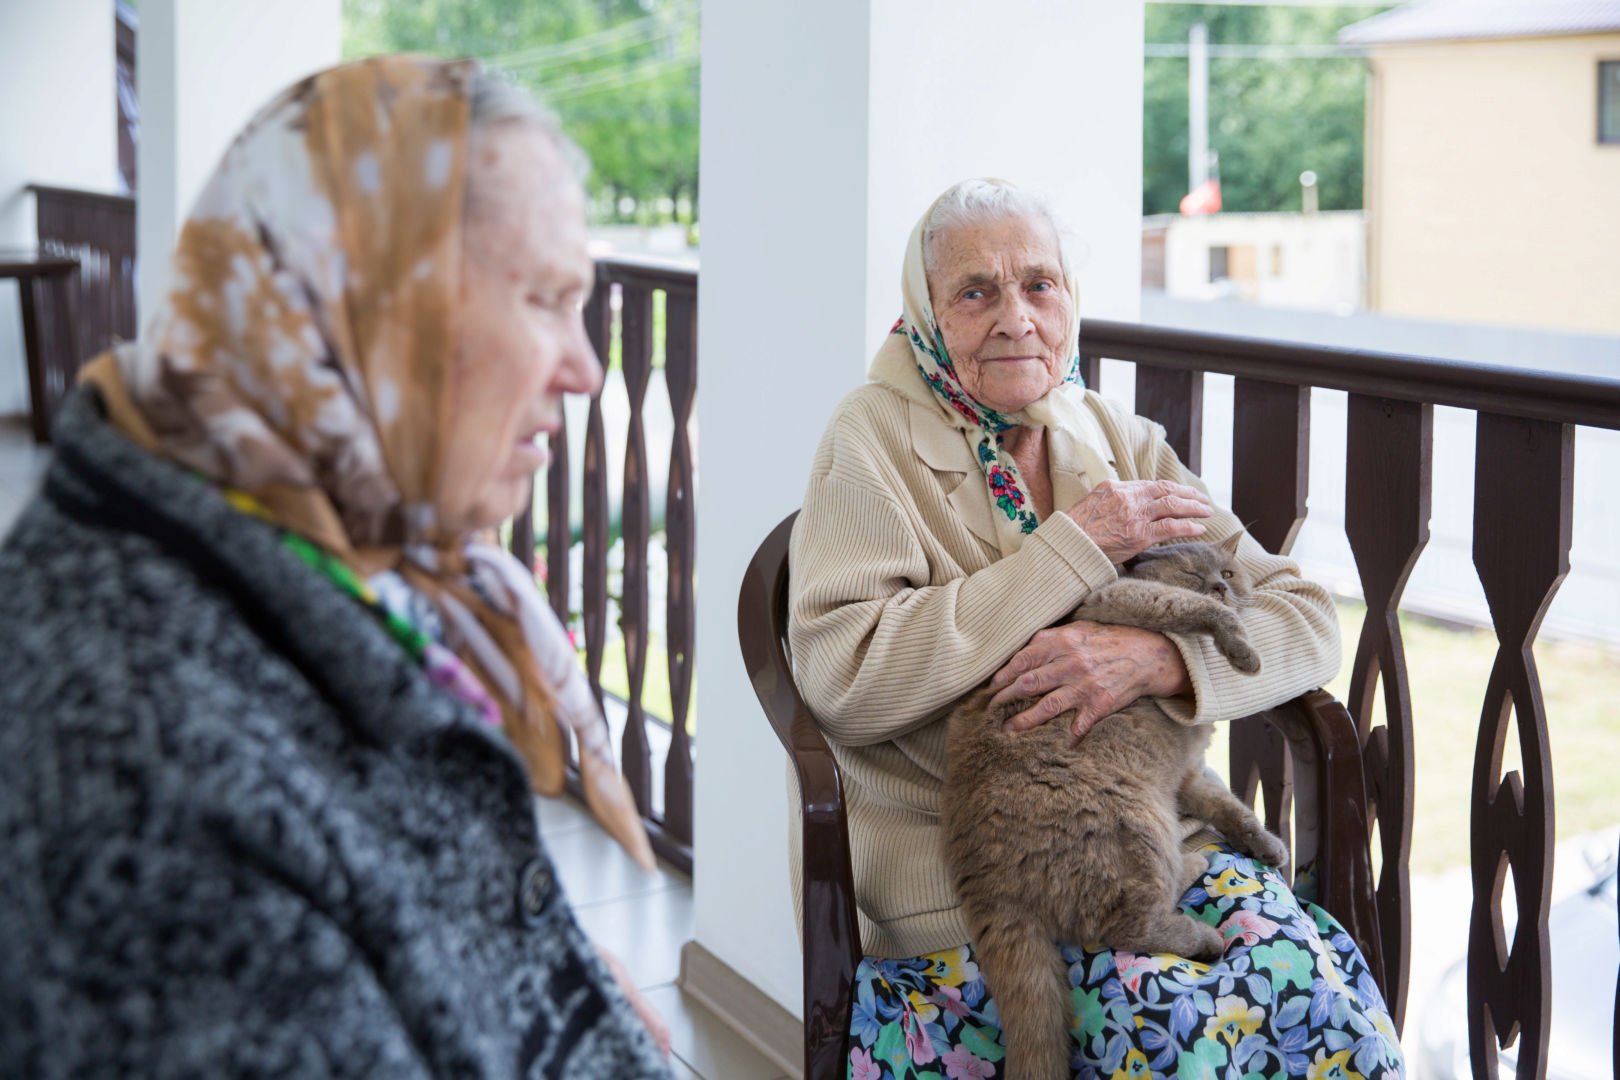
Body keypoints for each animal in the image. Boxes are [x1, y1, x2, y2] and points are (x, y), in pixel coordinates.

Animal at [939, 534, 1289, 1080]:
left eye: (1229, 572)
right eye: (1195, 574)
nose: (1218, 585)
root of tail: (980, 872)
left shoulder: (1188, 779)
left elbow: (1233, 810)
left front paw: (1267, 845)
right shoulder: (1123, 596)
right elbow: (1204, 612)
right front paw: (1245, 654)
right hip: (1139, 820)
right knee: (1129, 922)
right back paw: (1201, 914)